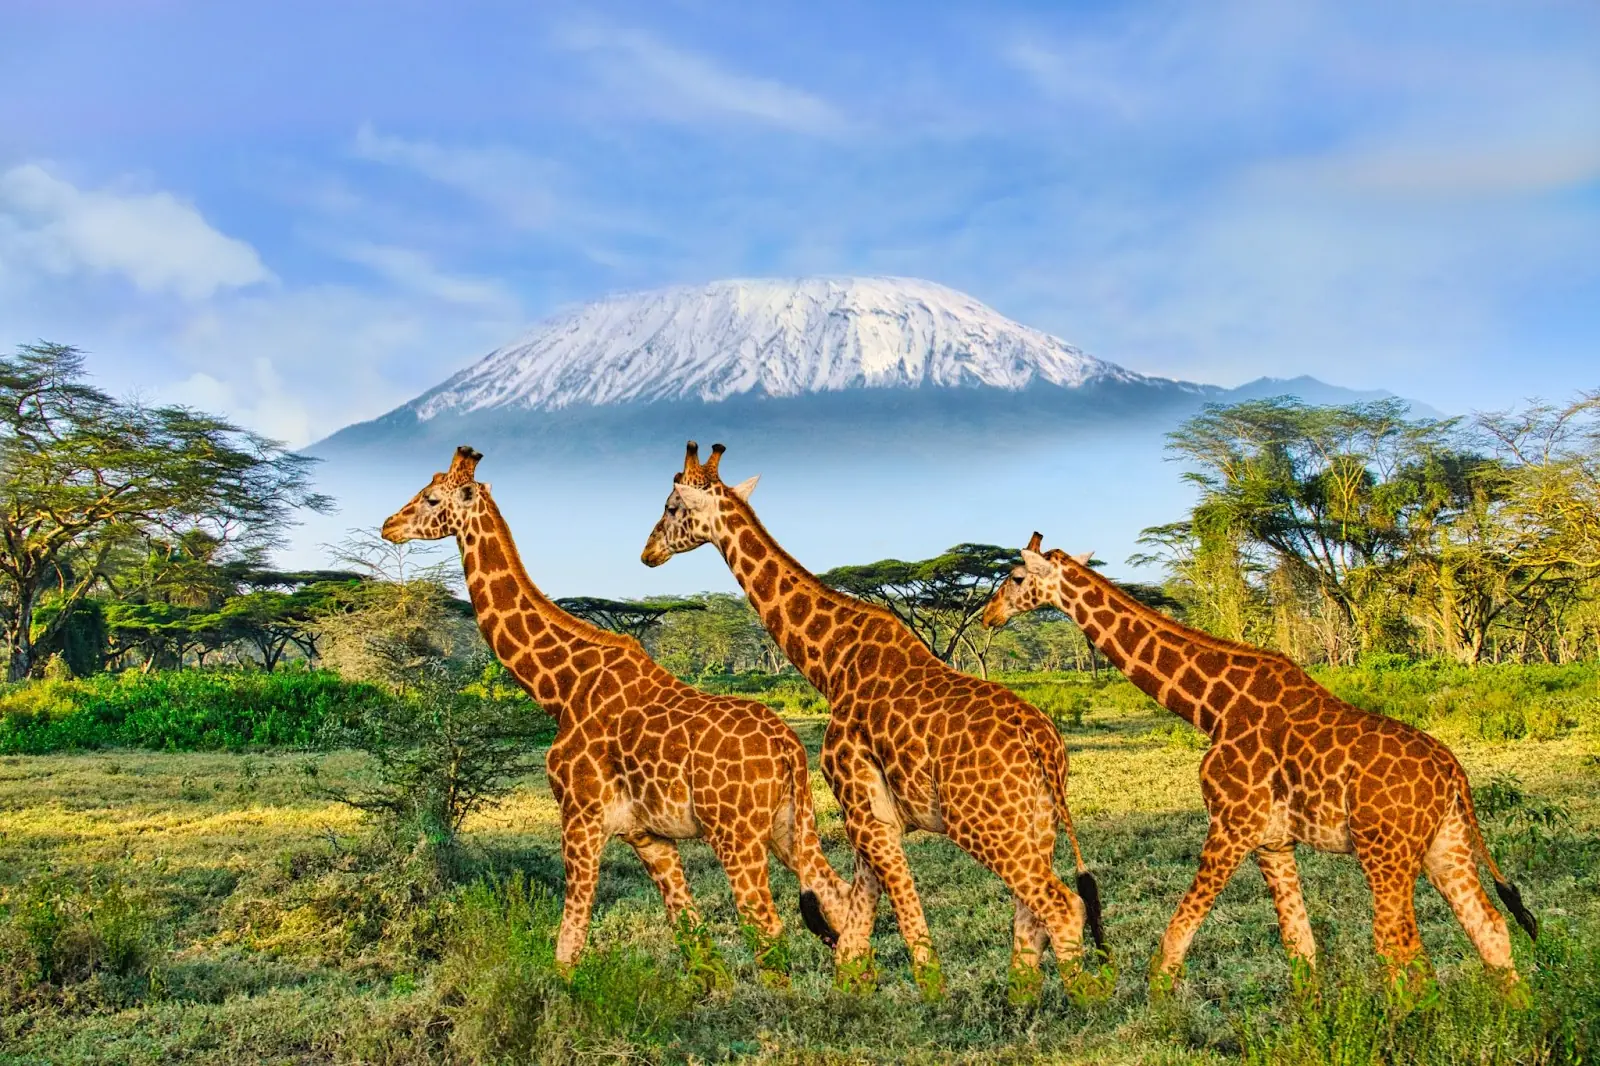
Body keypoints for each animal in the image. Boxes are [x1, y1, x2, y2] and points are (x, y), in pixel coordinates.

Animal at [381, 445, 857, 988]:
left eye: (430, 498)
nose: (389, 525)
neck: (561, 688)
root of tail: (789, 748)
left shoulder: (581, 817)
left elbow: (569, 944)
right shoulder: (647, 835)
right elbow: (692, 935)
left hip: (736, 834)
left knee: (769, 929)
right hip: (787, 825)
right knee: (836, 896)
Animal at [640, 442, 1109, 1005]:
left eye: (671, 506)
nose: (647, 553)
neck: (830, 664)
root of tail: (1044, 744)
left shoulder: (865, 811)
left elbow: (901, 917)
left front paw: (931, 996)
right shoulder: (866, 810)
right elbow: (856, 924)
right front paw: (858, 988)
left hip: (984, 823)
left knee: (1061, 905)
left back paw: (1085, 998)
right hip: (1036, 820)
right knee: (1033, 909)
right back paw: (1022, 997)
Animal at [982, 532, 1539, 1000]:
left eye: (1016, 578)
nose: (988, 615)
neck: (1213, 707)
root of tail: (1454, 774)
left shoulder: (1232, 823)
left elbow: (1176, 937)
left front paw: (1160, 1015)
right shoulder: (1272, 840)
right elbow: (1300, 946)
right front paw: (1313, 1022)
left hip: (1386, 851)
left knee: (1400, 947)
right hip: (1446, 844)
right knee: (1490, 927)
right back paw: (1517, 1017)